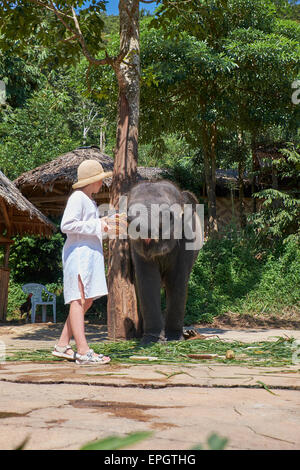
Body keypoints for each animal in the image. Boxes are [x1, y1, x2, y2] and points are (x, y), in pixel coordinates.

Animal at [127, 180, 203, 346]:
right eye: (128, 218)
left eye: (168, 215)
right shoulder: (136, 250)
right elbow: (148, 281)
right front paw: (151, 341)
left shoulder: (186, 241)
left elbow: (177, 281)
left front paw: (174, 339)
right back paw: (139, 335)